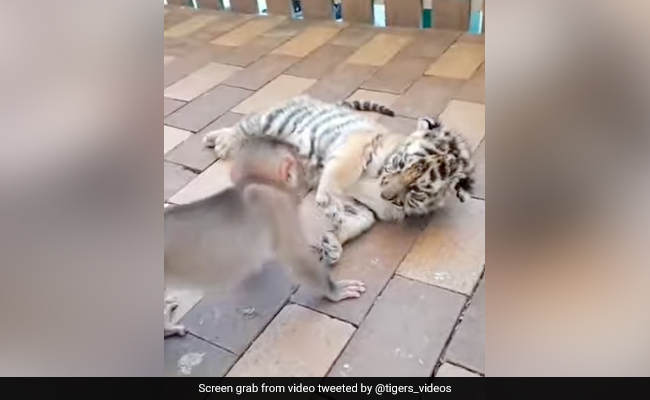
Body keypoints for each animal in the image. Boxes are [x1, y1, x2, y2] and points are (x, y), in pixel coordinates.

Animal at [202, 95, 475, 265]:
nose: (386, 194)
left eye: (416, 190)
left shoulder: (364, 206)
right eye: (399, 164)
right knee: (247, 122)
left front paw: (333, 242)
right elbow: (342, 170)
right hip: (277, 120)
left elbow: (360, 221)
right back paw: (222, 141)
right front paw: (326, 197)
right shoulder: (361, 144)